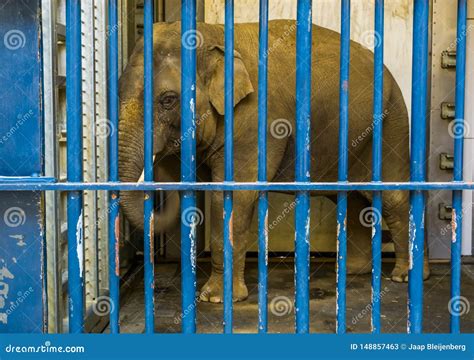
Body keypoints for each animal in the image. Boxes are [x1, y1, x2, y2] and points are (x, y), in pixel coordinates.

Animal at [117, 19, 430, 304]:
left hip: (392, 121)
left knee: (395, 198)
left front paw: (216, 299)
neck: (213, 31)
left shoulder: (255, 119)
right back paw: (353, 271)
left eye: (168, 100)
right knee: (350, 197)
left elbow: (231, 195)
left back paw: (405, 277)